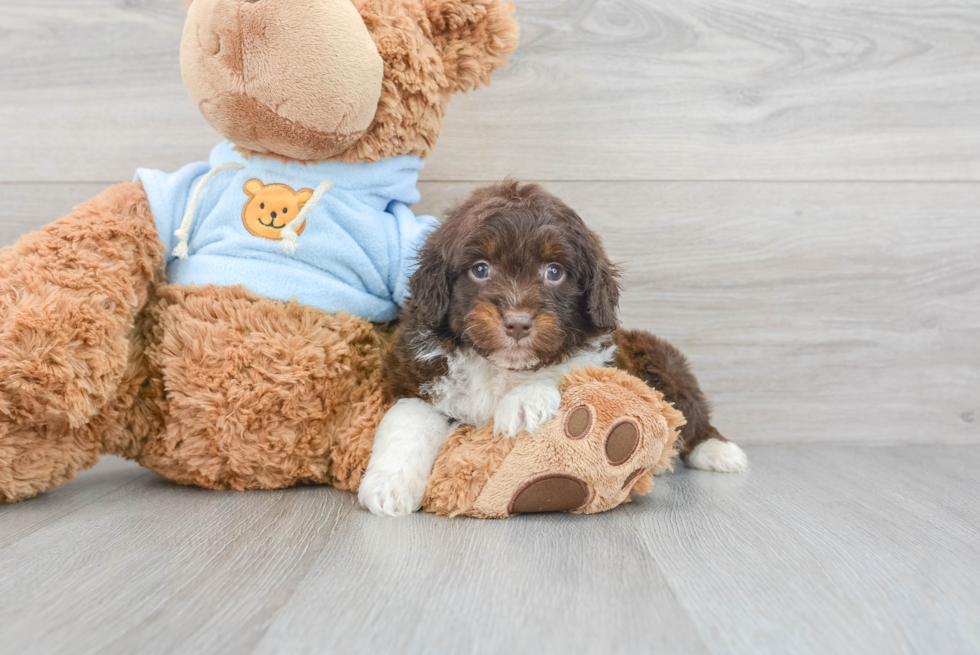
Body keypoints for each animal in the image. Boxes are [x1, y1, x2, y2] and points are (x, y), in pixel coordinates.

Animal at [360, 181, 752, 516]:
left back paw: (719, 451)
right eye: (480, 269)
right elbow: (408, 418)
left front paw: (521, 403)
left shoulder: (607, 358)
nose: (518, 323)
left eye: (554, 272)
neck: (501, 367)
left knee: (692, 414)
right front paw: (387, 487)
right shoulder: (415, 372)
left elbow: (570, 368)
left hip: (663, 361)